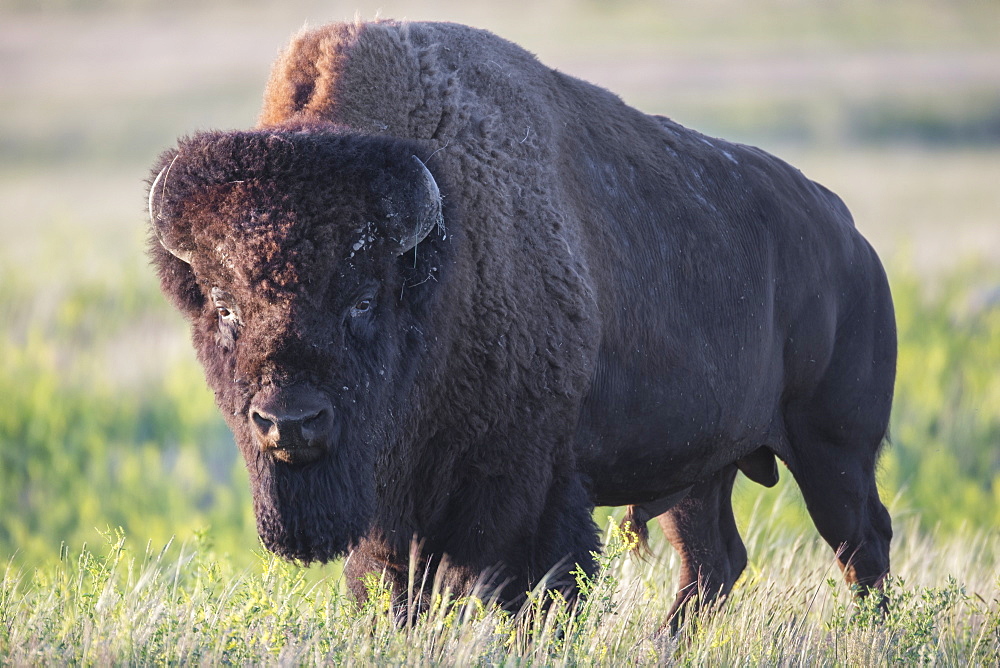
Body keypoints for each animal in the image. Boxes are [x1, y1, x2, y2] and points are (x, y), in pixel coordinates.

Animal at [148, 19, 900, 628]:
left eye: (361, 299)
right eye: (223, 304)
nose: (290, 422)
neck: (440, 261)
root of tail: (854, 243)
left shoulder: (522, 487)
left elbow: (517, 588)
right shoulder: (393, 507)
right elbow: (392, 588)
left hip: (832, 449)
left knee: (862, 544)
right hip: (700, 470)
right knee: (715, 563)